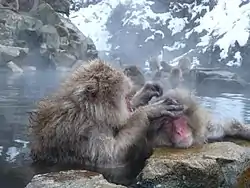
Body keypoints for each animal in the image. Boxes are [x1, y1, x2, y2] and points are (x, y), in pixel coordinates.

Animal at [28, 59, 185, 185]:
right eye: (124, 97)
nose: (128, 103)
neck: (90, 112)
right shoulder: (85, 131)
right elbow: (109, 158)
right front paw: (148, 111)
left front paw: (145, 93)